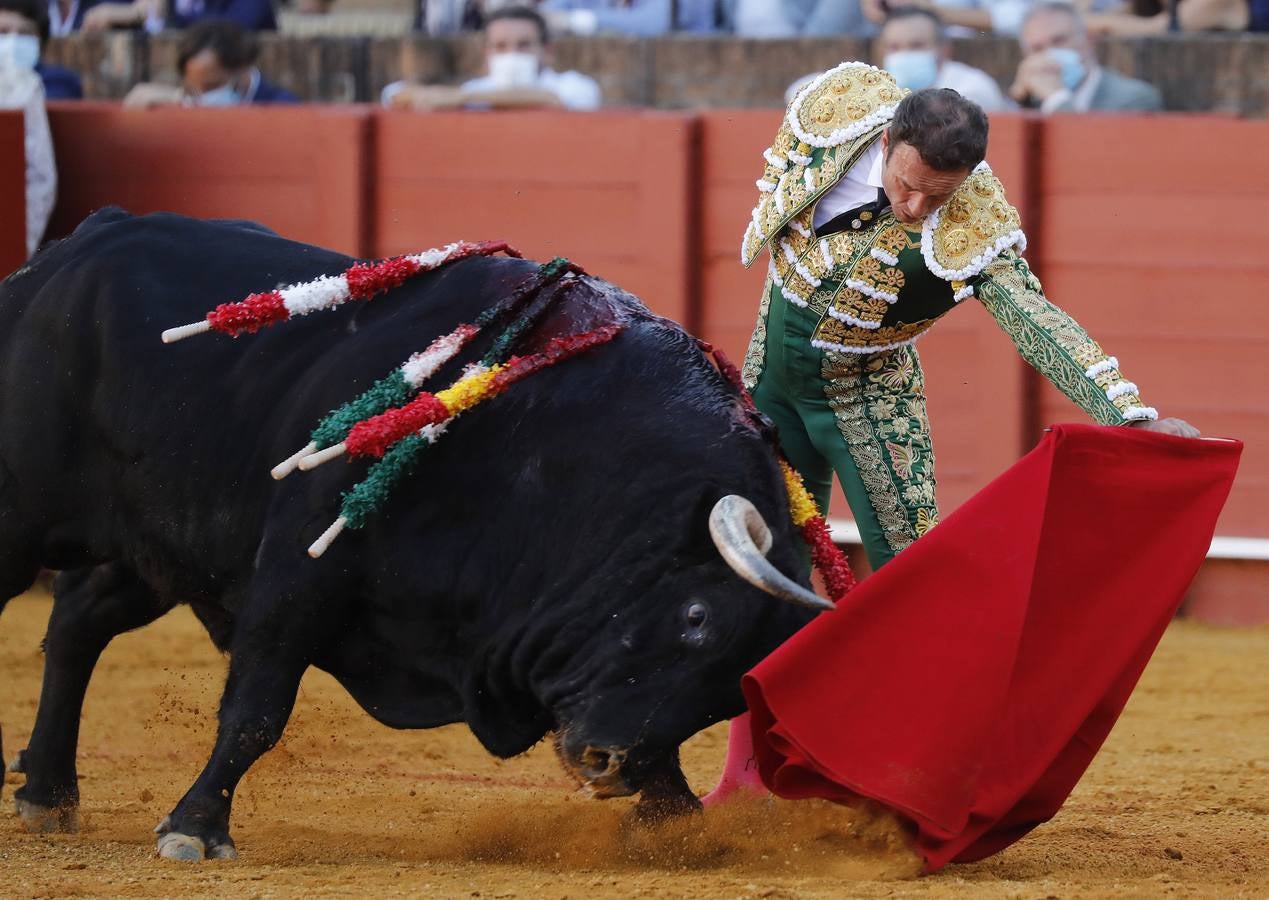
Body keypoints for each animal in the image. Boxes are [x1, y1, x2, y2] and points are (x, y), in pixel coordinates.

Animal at [0, 211, 827, 863]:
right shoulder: (299, 570)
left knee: (78, 623)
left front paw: (675, 824)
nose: (605, 764)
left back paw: (48, 793)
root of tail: (82, 242)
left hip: (163, 545)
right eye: (695, 619)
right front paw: (195, 830)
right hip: (30, 516)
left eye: (730, 685)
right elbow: (257, 709)